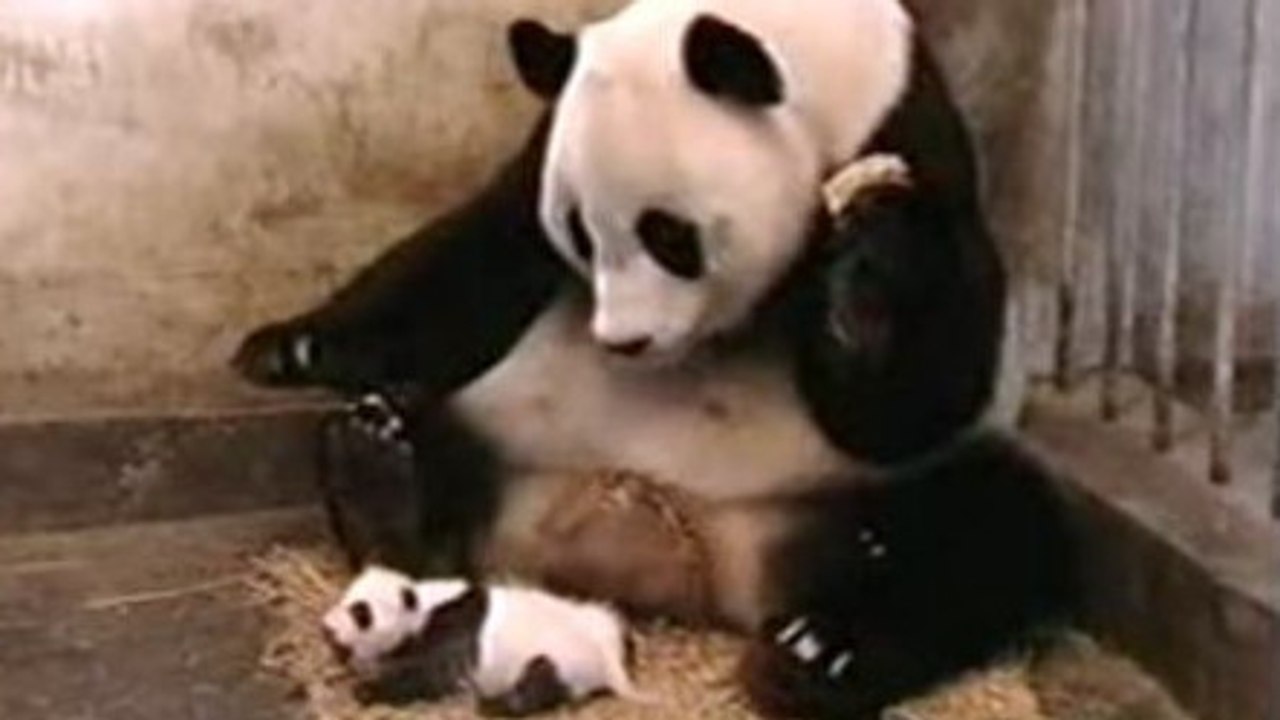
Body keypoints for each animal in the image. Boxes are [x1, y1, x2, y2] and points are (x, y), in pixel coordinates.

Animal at [322, 566, 647, 715]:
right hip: (595, 617)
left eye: (361, 612)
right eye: (345, 597)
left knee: (537, 684)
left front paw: (367, 690)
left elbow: (431, 676)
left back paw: (494, 705)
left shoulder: (451, 631)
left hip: (560, 661)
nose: (326, 627)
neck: (425, 606)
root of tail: (609, 664)